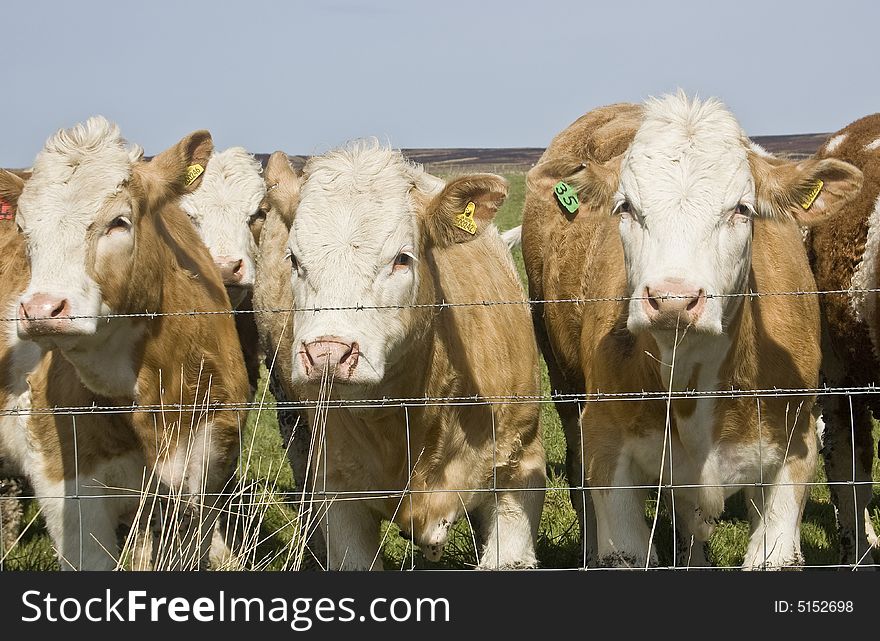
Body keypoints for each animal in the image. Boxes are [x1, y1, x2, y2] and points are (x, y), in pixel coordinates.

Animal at [524, 92, 860, 568]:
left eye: (741, 209)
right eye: (626, 207)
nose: (673, 299)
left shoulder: (794, 448)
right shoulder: (607, 448)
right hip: (564, 387)